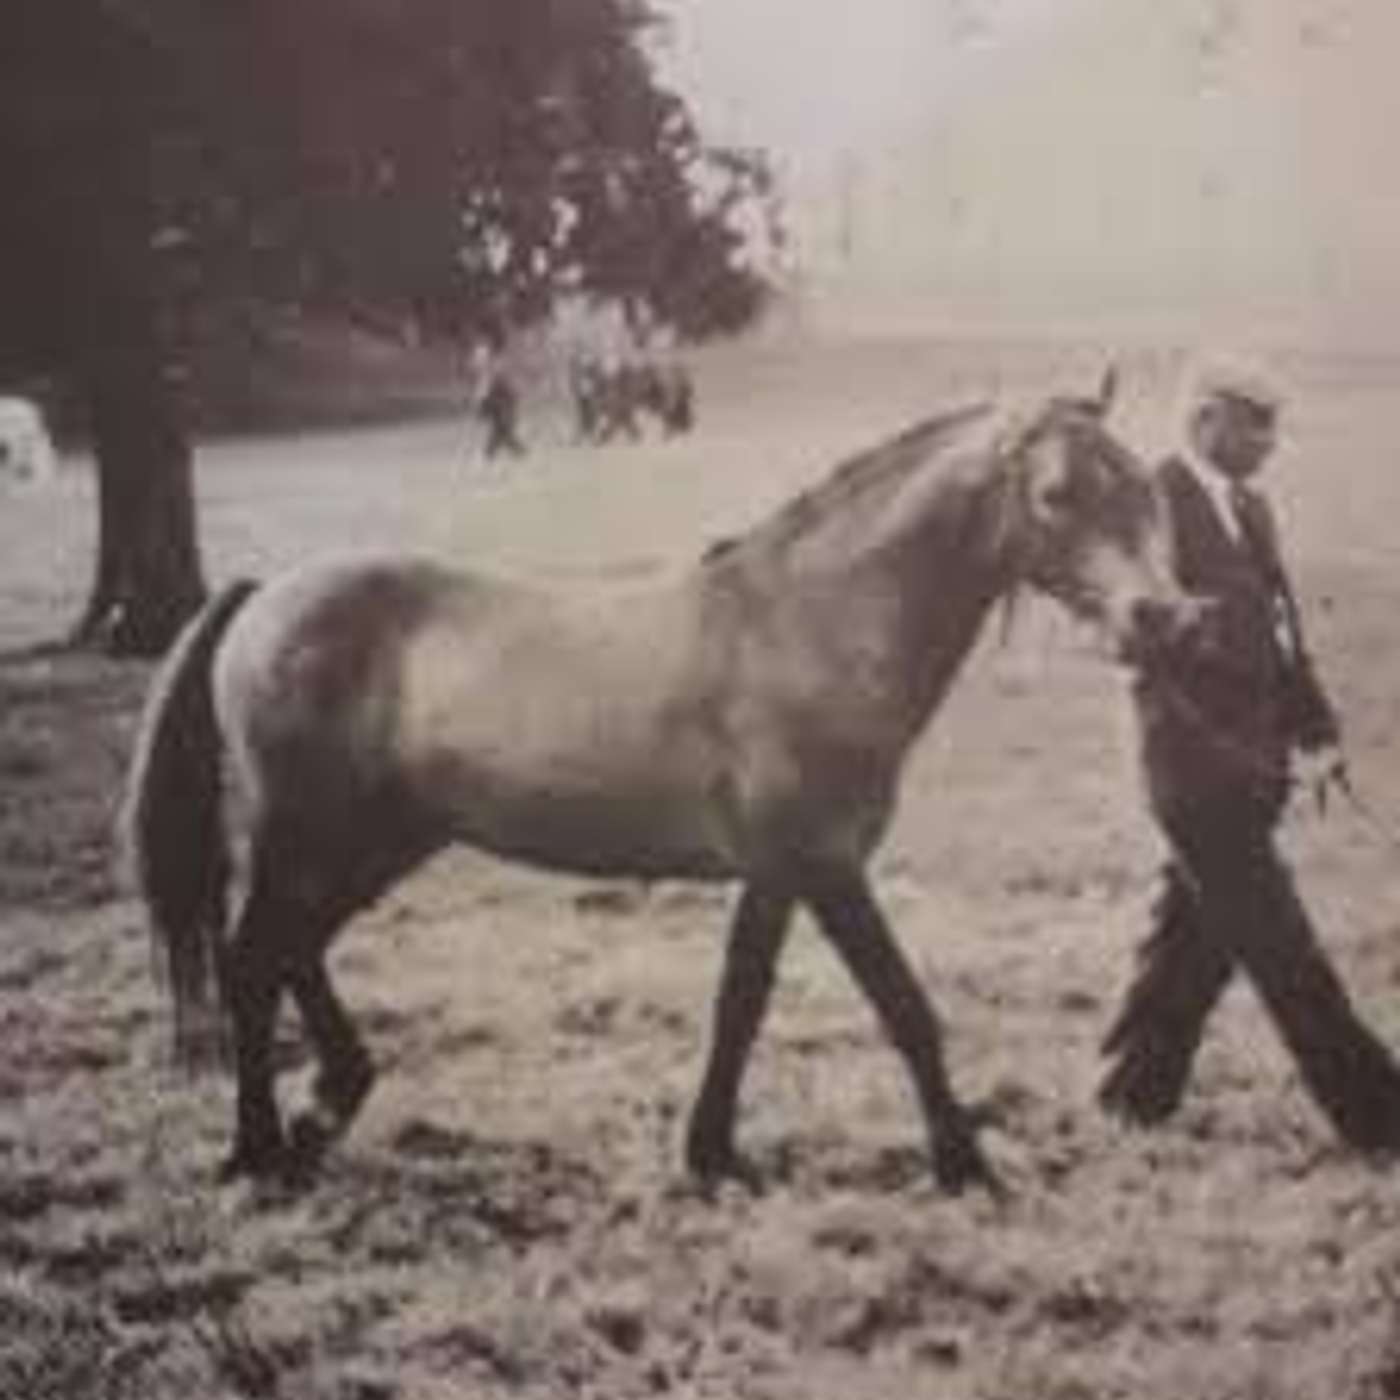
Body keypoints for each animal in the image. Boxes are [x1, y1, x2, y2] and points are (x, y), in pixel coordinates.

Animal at [121, 371, 1194, 1194]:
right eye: (1057, 495)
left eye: (1145, 490)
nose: (1163, 618)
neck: (806, 625)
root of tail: (266, 596)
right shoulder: (823, 866)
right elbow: (901, 1005)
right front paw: (964, 1163)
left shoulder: (777, 875)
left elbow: (741, 1004)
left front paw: (709, 1152)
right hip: (306, 835)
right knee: (254, 961)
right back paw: (258, 1147)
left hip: (377, 841)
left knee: (291, 952)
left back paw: (327, 1101)